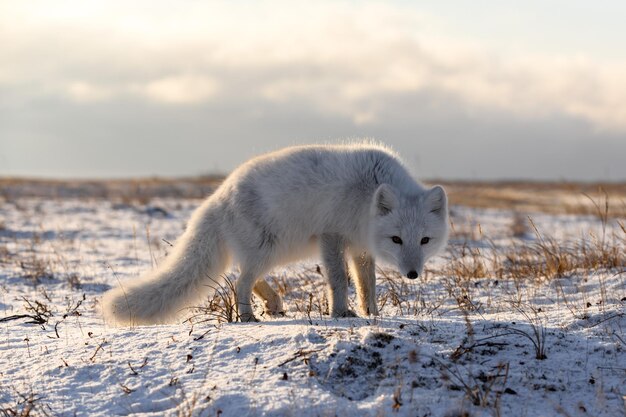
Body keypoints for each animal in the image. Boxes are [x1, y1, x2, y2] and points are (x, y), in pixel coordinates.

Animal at [101, 143, 448, 324]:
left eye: (424, 241)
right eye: (397, 239)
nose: (413, 274)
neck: (367, 195)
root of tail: (217, 197)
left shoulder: (360, 247)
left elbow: (367, 284)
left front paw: (372, 313)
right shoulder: (331, 236)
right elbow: (338, 280)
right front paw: (341, 313)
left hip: (276, 251)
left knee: (246, 279)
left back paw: (273, 305)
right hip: (269, 250)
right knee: (240, 282)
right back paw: (248, 317)